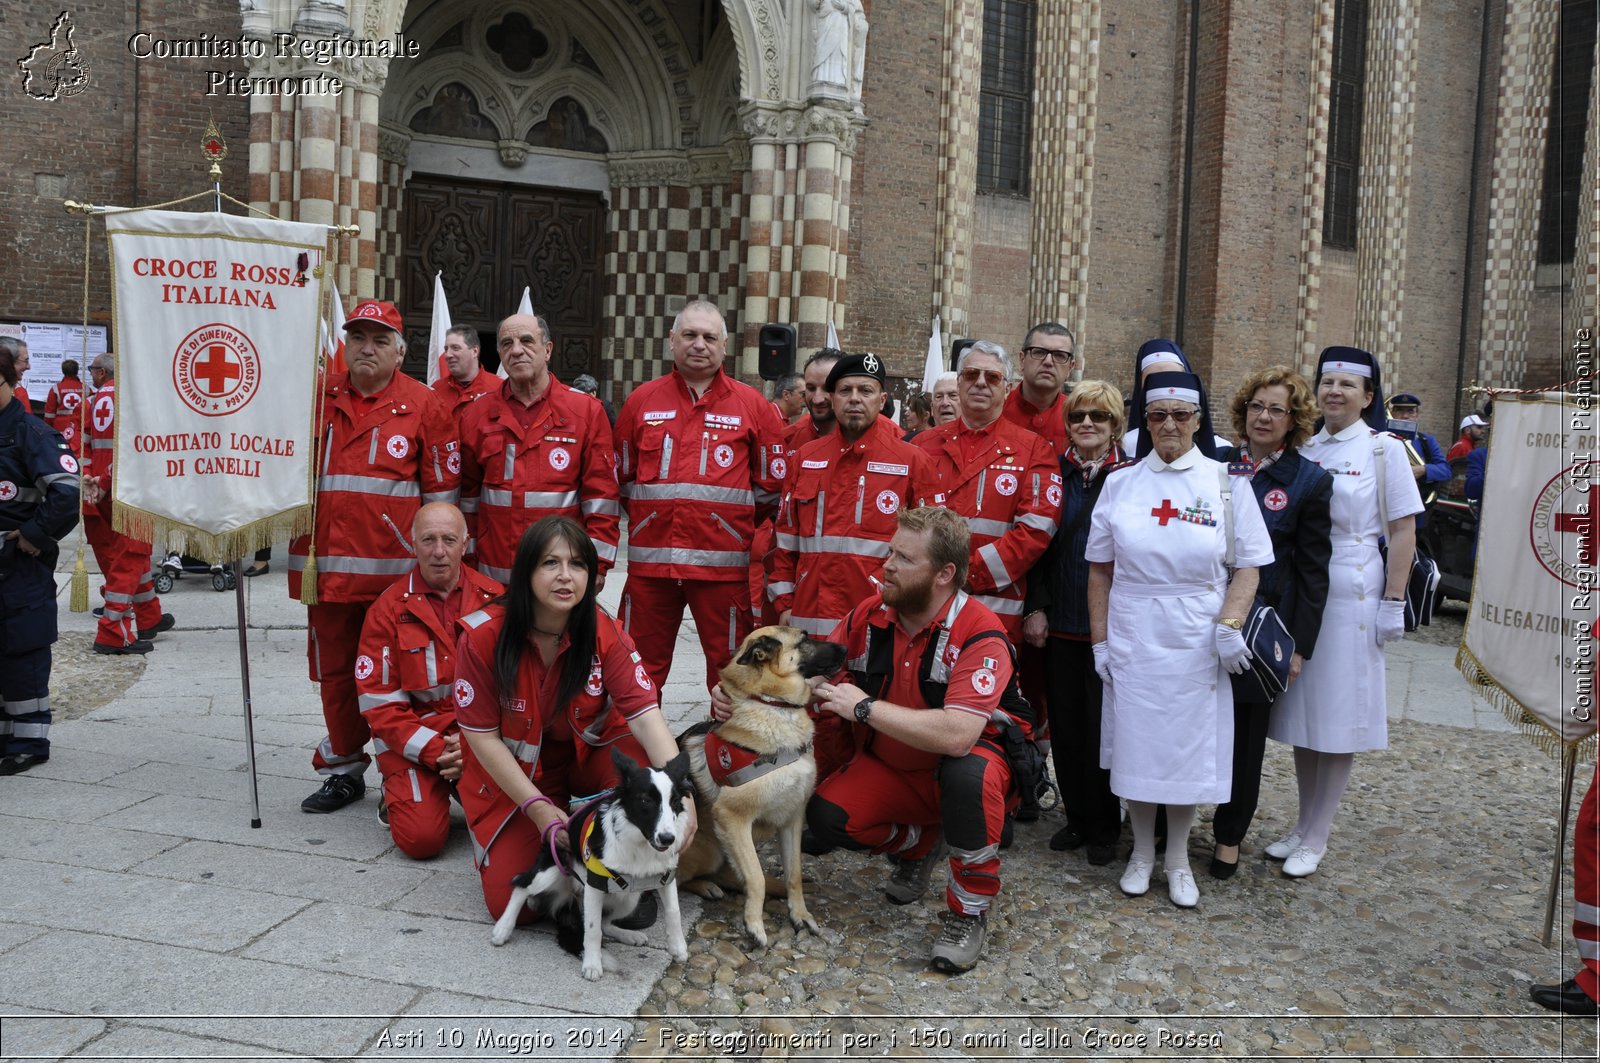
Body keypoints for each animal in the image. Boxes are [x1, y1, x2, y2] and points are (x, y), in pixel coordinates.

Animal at [483, 746, 691, 979]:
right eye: (646, 801)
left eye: (674, 802)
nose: (667, 839)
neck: (640, 843)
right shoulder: (595, 885)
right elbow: (592, 929)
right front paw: (592, 963)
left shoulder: (666, 877)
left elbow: (673, 912)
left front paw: (678, 947)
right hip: (550, 870)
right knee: (522, 887)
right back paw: (503, 928)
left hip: (629, 899)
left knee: (606, 923)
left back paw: (627, 935)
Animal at [675, 624, 851, 947]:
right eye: (804, 640)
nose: (847, 649)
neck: (774, 706)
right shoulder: (733, 819)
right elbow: (755, 876)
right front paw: (754, 925)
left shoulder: (792, 819)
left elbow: (794, 873)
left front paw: (800, 914)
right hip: (708, 848)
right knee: (687, 877)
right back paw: (705, 886)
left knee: (730, 874)